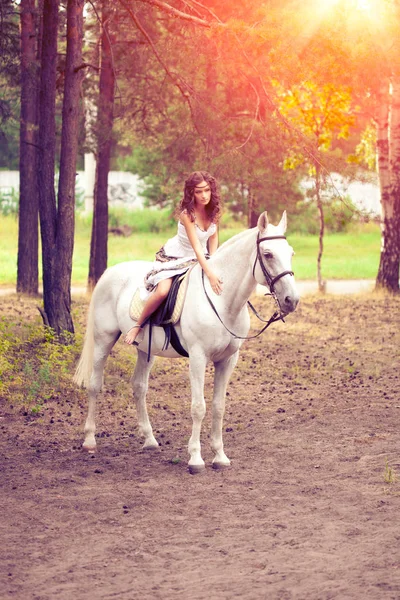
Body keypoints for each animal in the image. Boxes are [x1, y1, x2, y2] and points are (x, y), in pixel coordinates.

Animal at [74, 211, 300, 474]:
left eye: (291, 253)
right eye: (268, 254)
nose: (291, 300)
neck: (221, 299)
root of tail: (109, 273)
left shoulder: (228, 360)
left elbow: (218, 406)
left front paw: (220, 456)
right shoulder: (198, 357)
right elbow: (198, 407)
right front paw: (195, 459)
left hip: (145, 351)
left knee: (139, 386)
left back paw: (149, 440)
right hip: (103, 340)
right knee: (94, 385)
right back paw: (90, 440)